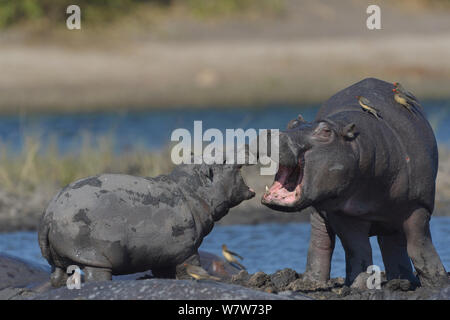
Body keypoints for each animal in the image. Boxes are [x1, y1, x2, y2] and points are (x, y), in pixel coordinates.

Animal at [262, 77, 448, 288]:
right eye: (292, 122)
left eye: (325, 131)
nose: (273, 133)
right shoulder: (342, 212)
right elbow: (358, 249)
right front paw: (360, 287)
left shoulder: (418, 205)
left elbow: (419, 245)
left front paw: (439, 281)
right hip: (321, 211)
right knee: (320, 242)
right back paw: (311, 283)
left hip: (393, 213)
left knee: (393, 244)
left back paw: (403, 280)